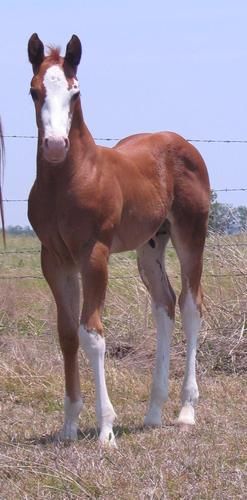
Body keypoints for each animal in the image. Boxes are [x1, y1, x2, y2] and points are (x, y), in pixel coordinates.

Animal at [27, 33, 210, 444]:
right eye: (34, 91)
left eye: (75, 92)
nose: (55, 146)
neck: (70, 179)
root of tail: (181, 142)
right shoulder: (54, 259)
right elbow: (67, 333)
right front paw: (69, 426)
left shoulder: (94, 254)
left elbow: (92, 333)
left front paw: (105, 428)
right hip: (150, 244)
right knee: (165, 305)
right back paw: (153, 412)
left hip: (191, 234)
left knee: (191, 307)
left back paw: (186, 411)